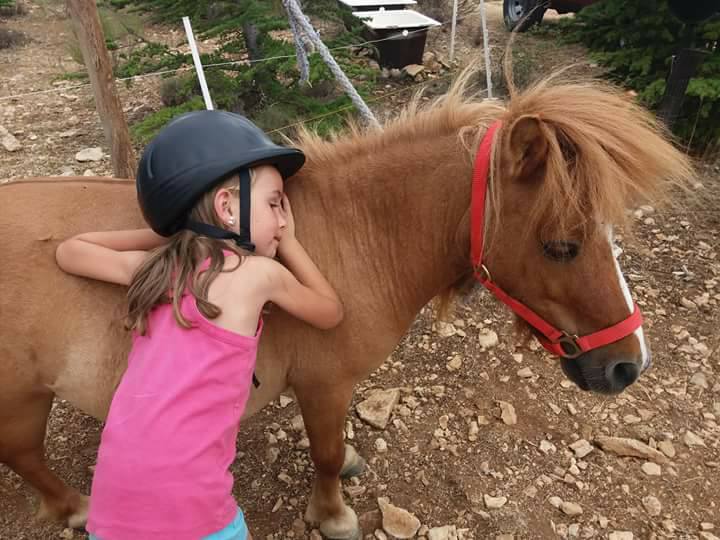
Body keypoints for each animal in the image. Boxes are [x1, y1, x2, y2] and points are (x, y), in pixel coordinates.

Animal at [0, 70, 693, 539]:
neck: (360, 235)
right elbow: (326, 454)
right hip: (22, 399)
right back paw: (76, 507)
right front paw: (332, 515)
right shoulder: (323, 384)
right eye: (560, 246)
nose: (628, 365)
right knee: (23, 455)